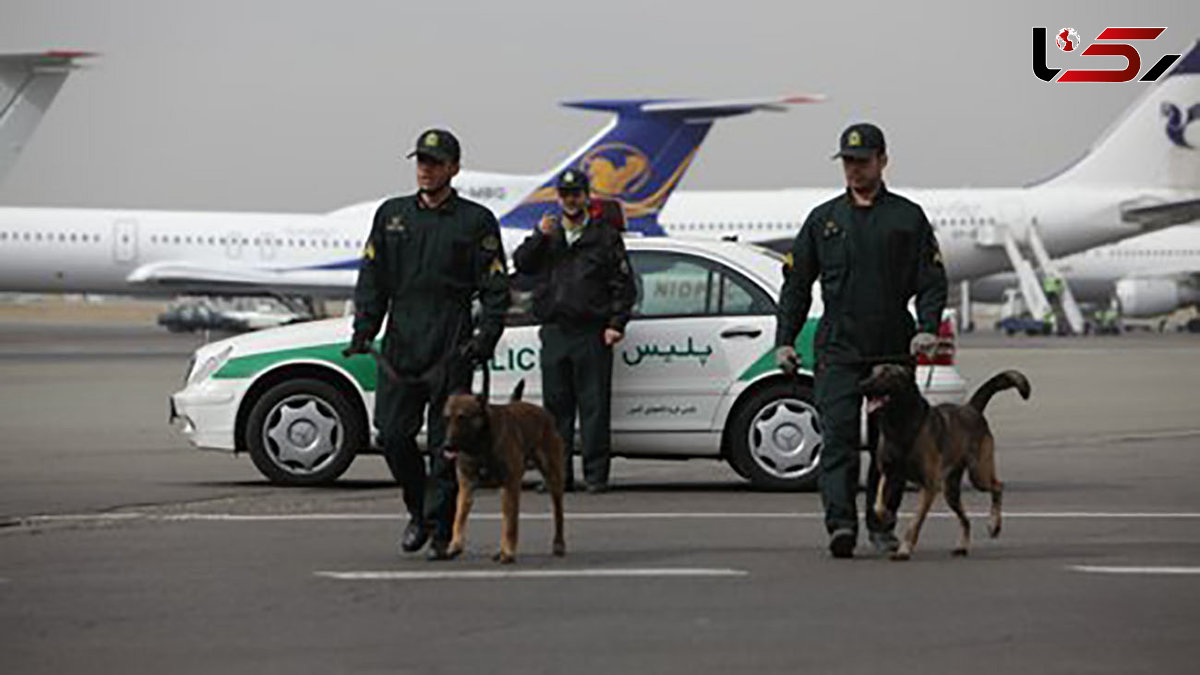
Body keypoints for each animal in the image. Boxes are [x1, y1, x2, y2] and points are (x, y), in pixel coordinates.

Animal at [446, 379, 566, 562]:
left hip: (553, 477)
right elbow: (458, 518)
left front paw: (509, 552)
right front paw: (456, 544)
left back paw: (558, 543)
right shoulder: (466, 487)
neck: (481, 444)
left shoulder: (512, 484)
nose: (447, 445)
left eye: (462, 417)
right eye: (447, 418)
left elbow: (511, 523)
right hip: (505, 491)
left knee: (558, 511)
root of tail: (544, 414)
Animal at [854, 365, 1032, 559]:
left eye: (887, 374)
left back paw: (994, 525)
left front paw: (905, 549)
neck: (899, 424)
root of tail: (972, 408)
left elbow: (915, 523)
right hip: (950, 491)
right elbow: (878, 503)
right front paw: (885, 516)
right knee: (966, 519)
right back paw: (962, 546)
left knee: (998, 486)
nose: (861, 385)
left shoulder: (929, 487)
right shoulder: (888, 474)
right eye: (872, 372)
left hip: (978, 474)